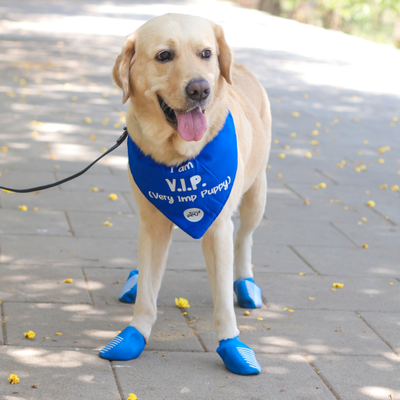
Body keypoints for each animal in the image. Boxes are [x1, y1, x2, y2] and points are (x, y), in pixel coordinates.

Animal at [98, 13, 270, 376]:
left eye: (206, 53)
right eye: (164, 56)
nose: (200, 89)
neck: (179, 160)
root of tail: (240, 67)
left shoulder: (217, 227)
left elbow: (222, 298)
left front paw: (232, 344)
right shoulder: (152, 222)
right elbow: (148, 291)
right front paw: (134, 334)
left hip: (256, 195)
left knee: (244, 239)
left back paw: (245, 283)